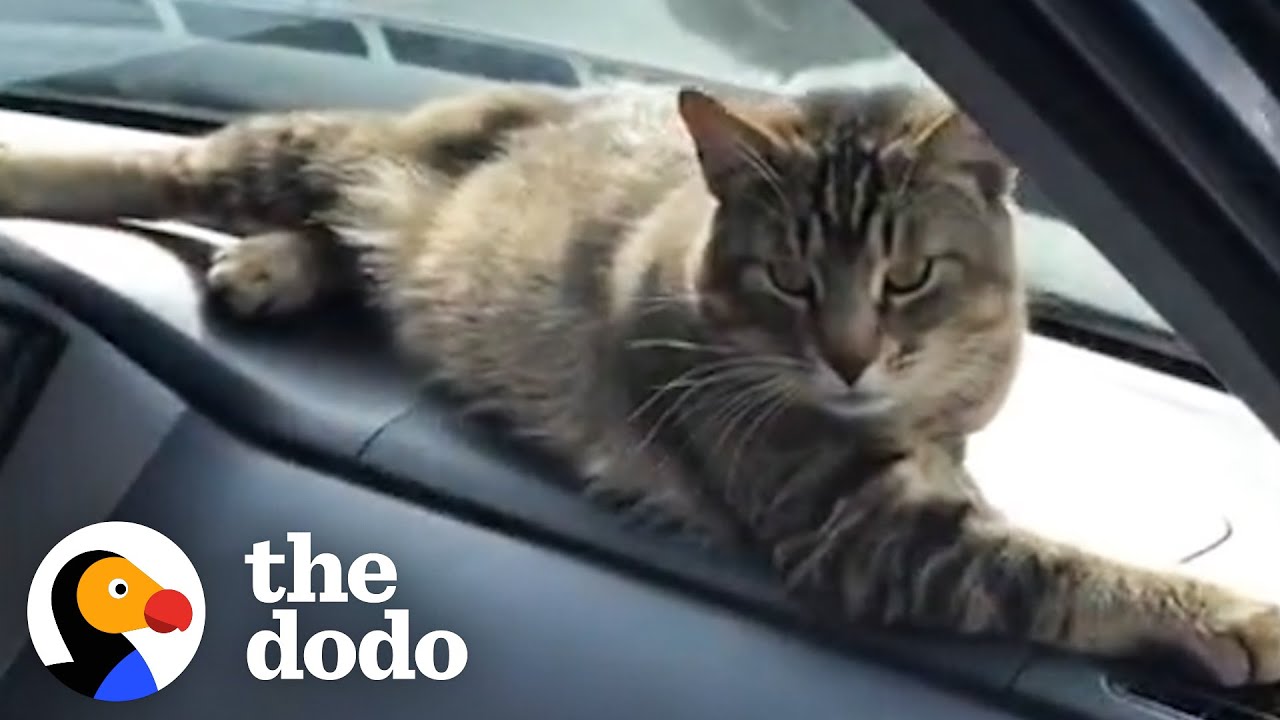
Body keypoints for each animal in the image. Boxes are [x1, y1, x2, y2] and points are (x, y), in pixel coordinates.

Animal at [2, 78, 1280, 681]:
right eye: (787, 277)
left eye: (908, 274)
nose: (847, 356)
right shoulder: (858, 526)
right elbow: (1057, 566)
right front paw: (1231, 617)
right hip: (303, 149)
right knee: (172, 165)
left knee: (345, 243)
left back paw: (278, 266)